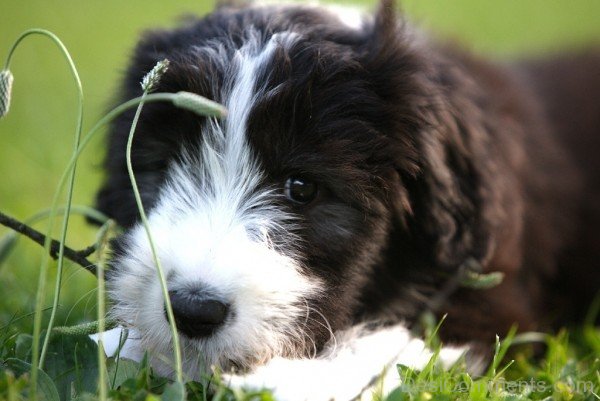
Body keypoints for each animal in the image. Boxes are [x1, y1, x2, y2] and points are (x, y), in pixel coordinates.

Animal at [92, 1, 600, 398]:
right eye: (162, 169)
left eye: (302, 188)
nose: (193, 310)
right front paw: (124, 344)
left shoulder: (490, 295)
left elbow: (399, 340)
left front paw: (287, 381)